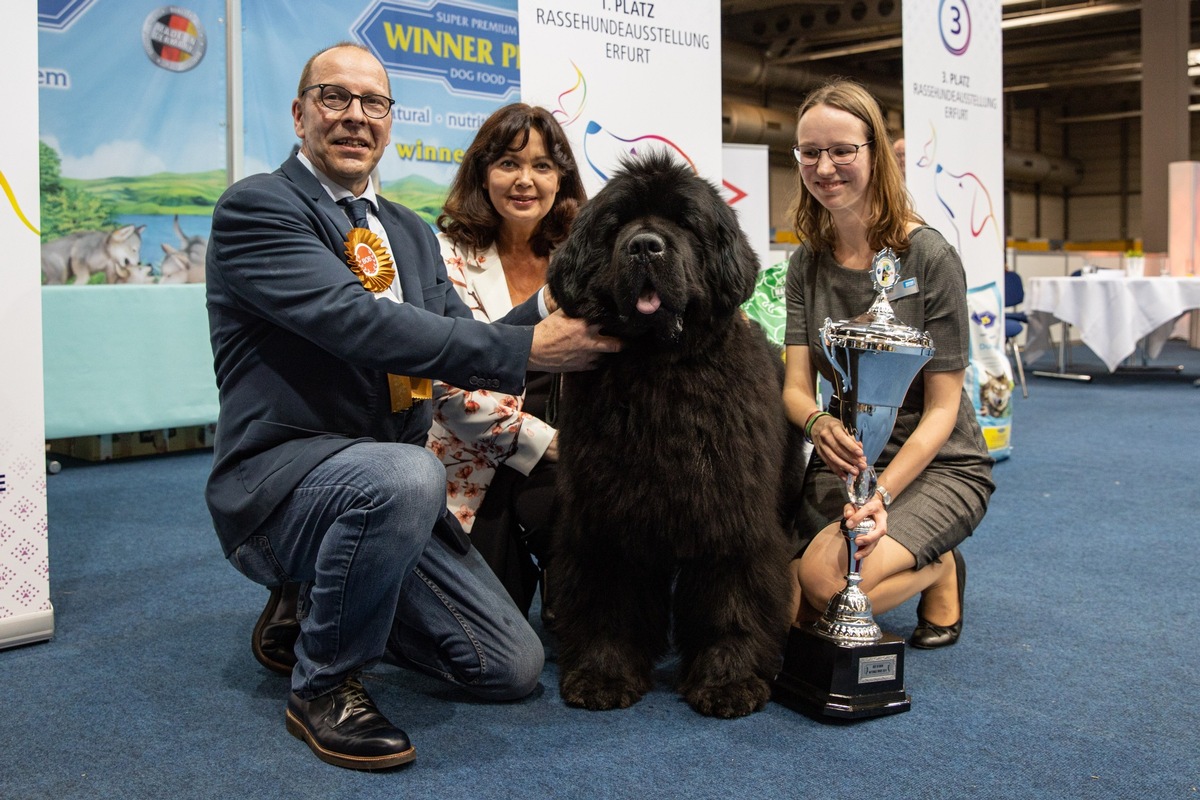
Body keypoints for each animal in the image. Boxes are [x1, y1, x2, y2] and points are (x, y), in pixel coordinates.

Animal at [549, 149, 801, 719]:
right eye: (616, 224)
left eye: (685, 223)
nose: (645, 245)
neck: (660, 372)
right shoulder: (606, 515)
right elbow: (609, 598)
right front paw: (603, 674)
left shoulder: (732, 513)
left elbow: (732, 598)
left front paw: (728, 680)